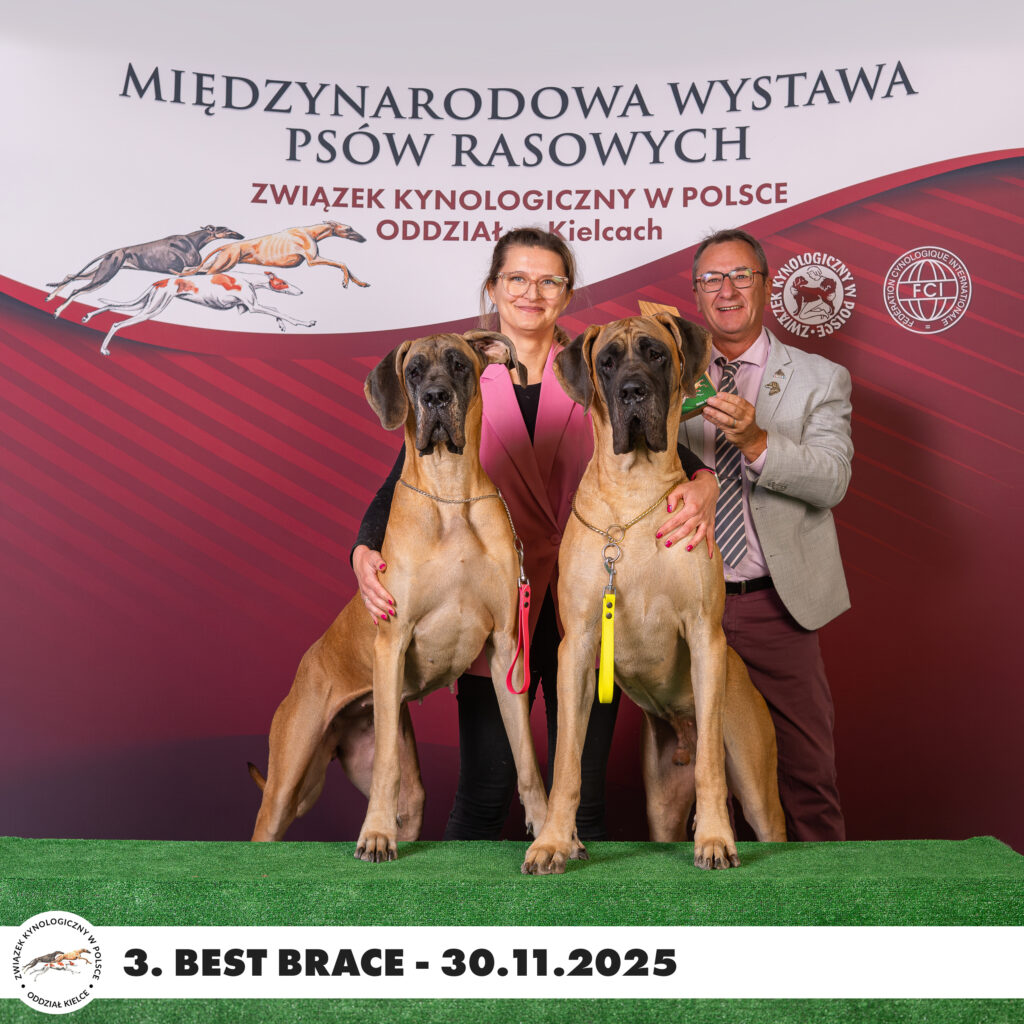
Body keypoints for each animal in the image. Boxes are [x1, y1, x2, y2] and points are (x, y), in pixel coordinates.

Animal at [45, 225, 244, 319]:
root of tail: (111, 252)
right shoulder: (179, 270)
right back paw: (57, 311)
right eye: (226, 229)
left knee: (71, 276)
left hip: (100, 271)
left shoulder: (186, 270)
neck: (193, 241)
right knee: (76, 290)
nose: (241, 236)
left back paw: (50, 296)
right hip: (105, 275)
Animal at [80, 270, 315, 355]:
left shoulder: (249, 308)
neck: (248, 280)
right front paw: (305, 323)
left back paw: (87, 317)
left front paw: (282, 325)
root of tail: (160, 281)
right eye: (283, 282)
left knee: (111, 306)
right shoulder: (253, 306)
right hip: (152, 309)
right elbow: (282, 311)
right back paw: (104, 349)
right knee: (117, 324)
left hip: (146, 304)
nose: (301, 291)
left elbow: (276, 310)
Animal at [183, 220, 369, 287]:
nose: (364, 239)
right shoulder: (313, 260)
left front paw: (360, 283)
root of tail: (228, 245)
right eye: (349, 229)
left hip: (219, 262)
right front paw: (345, 282)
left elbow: (347, 267)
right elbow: (342, 264)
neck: (310, 231)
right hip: (224, 263)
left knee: (190, 271)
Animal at [250, 330, 548, 861]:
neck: (451, 497)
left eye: (459, 365)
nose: (435, 398)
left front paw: (549, 828)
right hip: (287, 779)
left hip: (400, 780)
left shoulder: (505, 651)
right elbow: (386, 769)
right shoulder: (392, 643)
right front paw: (374, 836)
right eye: (413, 372)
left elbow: (527, 760)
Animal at [522, 313, 786, 874]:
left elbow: (710, 768)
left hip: (757, 785)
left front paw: (714, 838)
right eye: (606, 363)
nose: (632, 391)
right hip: (661, 796)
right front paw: (554, 841)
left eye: (657, 354)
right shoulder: (577, 647)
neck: (634, 495)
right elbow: (567, 763)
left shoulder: (705, 634)